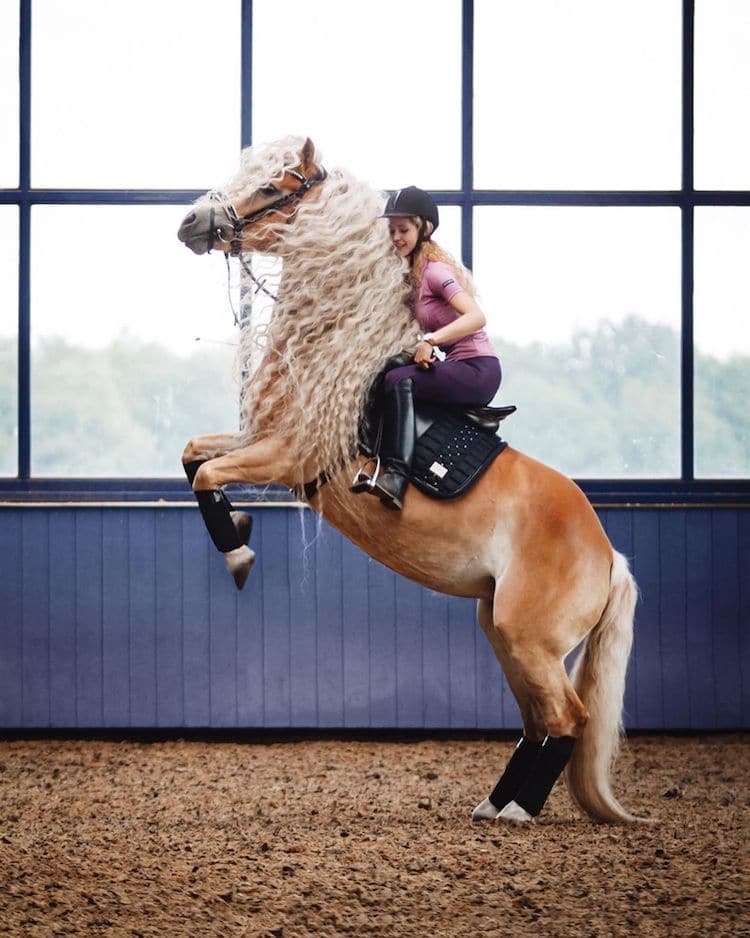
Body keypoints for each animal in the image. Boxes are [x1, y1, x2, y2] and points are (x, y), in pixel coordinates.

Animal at [176, 135, 640, 824]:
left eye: (271, 186)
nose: (190, 223)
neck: (333, 346)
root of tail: (608, 556)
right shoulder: (258, 443)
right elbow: (194, 457)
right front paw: (238, 524)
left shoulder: (287, 456)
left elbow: (206, 470)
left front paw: (239, 555)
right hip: (502, 631)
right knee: (538, 719)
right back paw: (494, 804)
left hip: (529, 639)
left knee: (567, 718)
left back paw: (517, 812)